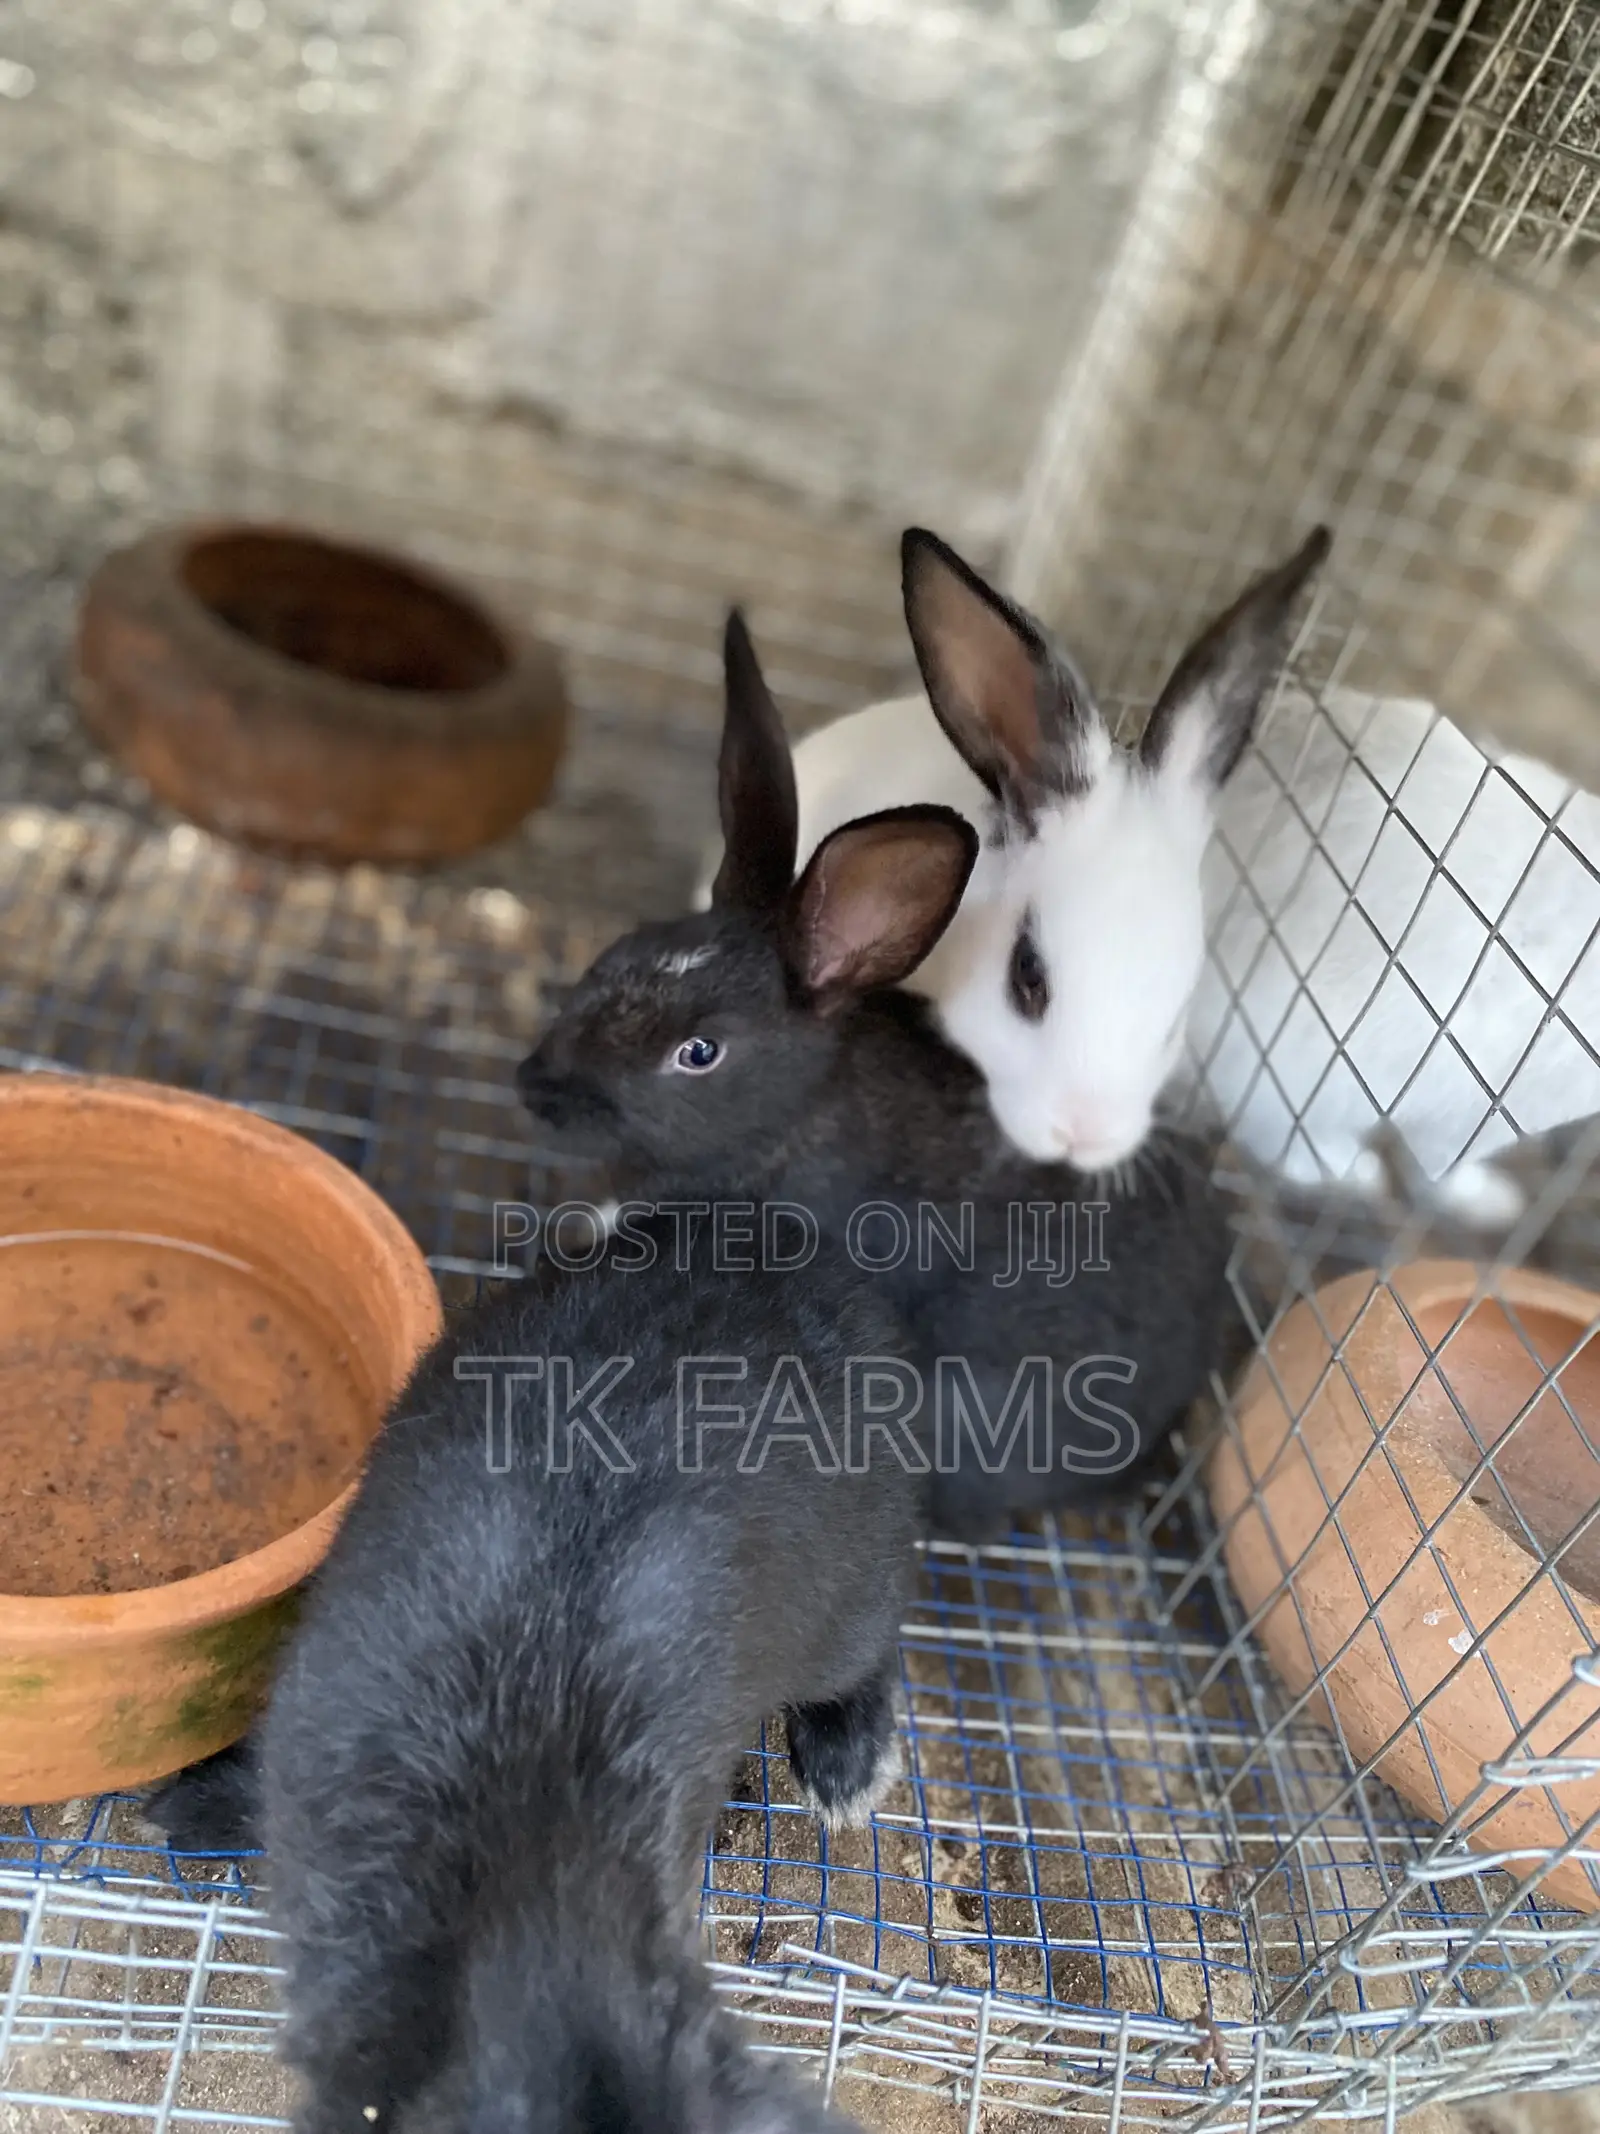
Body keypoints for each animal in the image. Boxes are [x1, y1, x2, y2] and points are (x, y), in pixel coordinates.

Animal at [148, 1225, 922, 2134]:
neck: (516, 1903)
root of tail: (793, 1245)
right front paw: (189, 1805)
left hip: (849, 1598)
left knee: (869, 1657)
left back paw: (847, 1768)